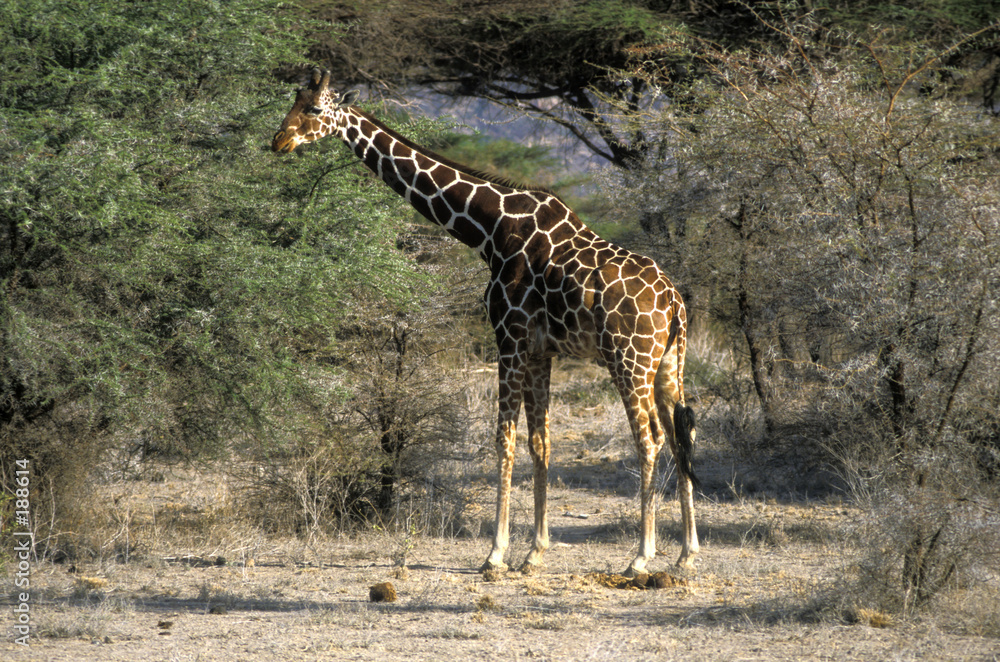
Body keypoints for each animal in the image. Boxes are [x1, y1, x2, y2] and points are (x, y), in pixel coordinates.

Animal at [272, 68, 699, 575]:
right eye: (292, 101)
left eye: (315, 109)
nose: (279, 141)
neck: (489, 229)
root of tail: (674, 301)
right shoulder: (540, 350)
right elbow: (540, 443)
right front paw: (534, 552)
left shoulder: (508, 338)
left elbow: (503, 440)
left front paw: (495, 554)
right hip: (669, 363)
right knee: (682, 433)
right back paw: (686, 554)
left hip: (628, 360)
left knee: (650, 438)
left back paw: (641, 557)